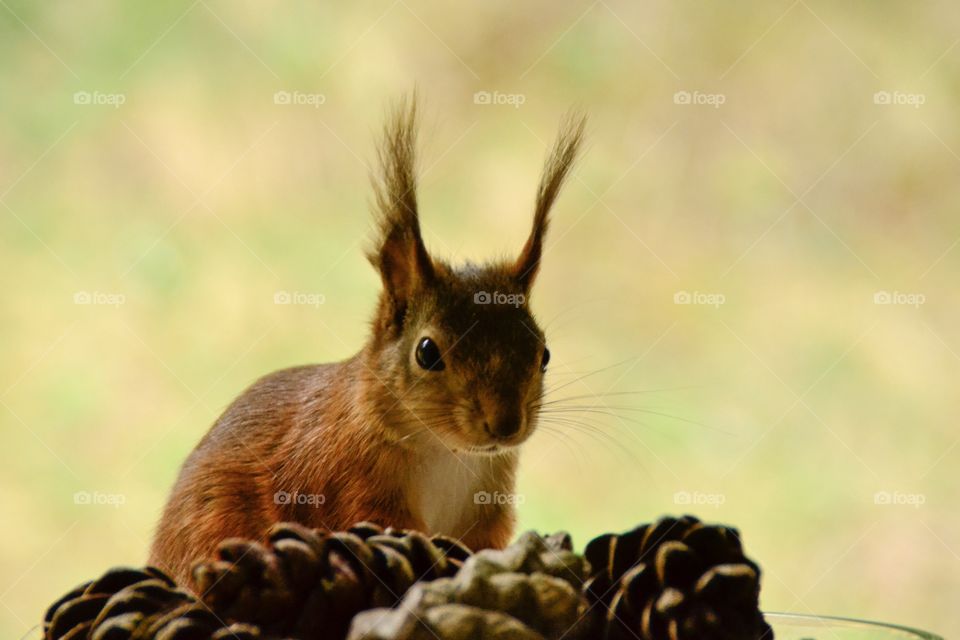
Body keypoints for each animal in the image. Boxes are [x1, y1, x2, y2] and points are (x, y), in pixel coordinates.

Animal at [148, 97, 584, 588]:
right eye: (427, 352)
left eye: (544, 353)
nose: (506, 425)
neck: (447, 453)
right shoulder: (346, 483)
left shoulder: (489, 508)